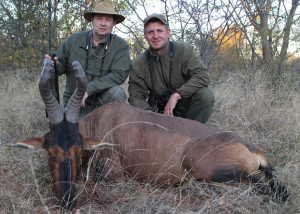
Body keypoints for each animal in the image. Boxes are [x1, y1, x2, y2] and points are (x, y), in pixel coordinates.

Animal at [12, 60, 288, 211]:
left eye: (79, 150)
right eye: (50, 151)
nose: (68, 203)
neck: (102, 123)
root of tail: (250, 147)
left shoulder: (115, 175)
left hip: (205, 170)